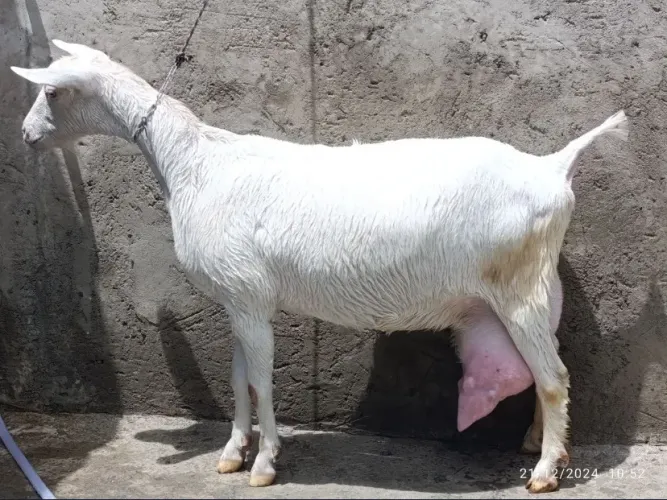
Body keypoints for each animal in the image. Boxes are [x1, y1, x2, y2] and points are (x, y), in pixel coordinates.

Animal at [12, 39, 628, 493]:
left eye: (51, 90)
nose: (25, 135)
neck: (195, 162)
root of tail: (553, 167)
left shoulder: (246, 291)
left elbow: (261, 381)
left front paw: (264, 465)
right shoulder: (243, 299)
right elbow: (239, 380)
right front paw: (231, 454)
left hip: (519, 287)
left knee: (553, 377)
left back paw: (545, 474)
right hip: (538, 291)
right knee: (548, 368)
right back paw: (541, 444)